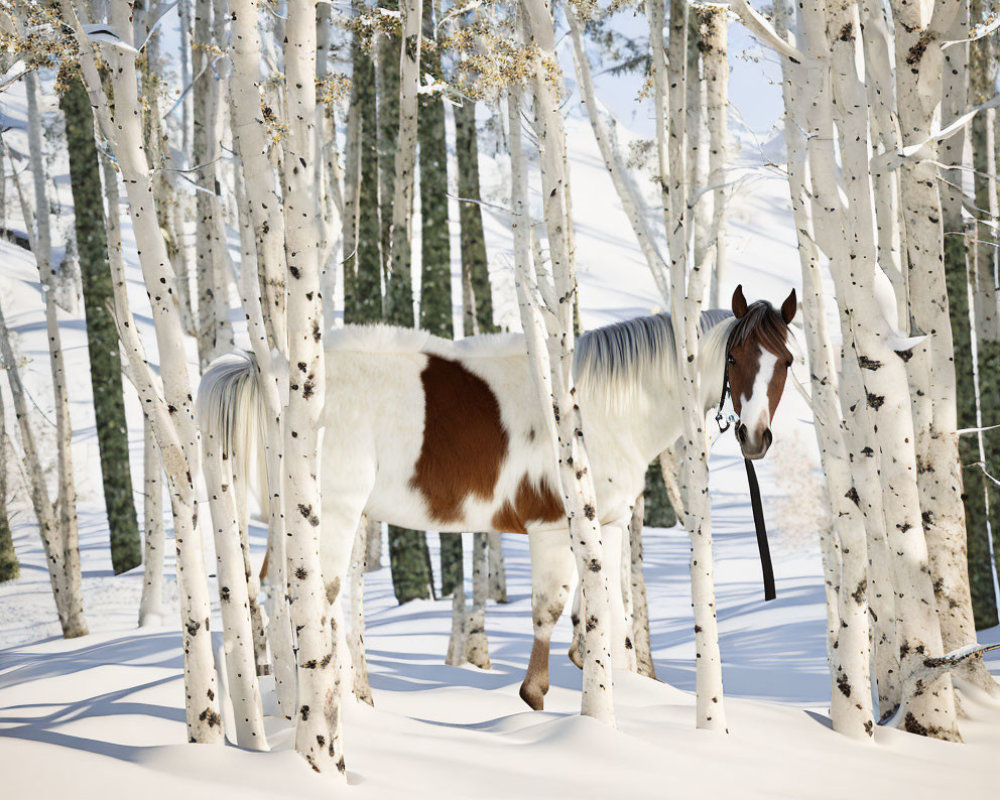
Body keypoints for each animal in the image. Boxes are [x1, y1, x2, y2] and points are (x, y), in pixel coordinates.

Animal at [199, 284, 796, 708]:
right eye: (736, 357)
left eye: (786, 362)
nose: (756, 438)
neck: (596, 404)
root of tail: (272, 373)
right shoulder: (554, 527)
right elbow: (552, 608)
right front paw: (536, 696)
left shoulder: (607, 523)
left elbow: (605, 610)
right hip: (334, 514)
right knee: (313, 596)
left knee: (282, 593)